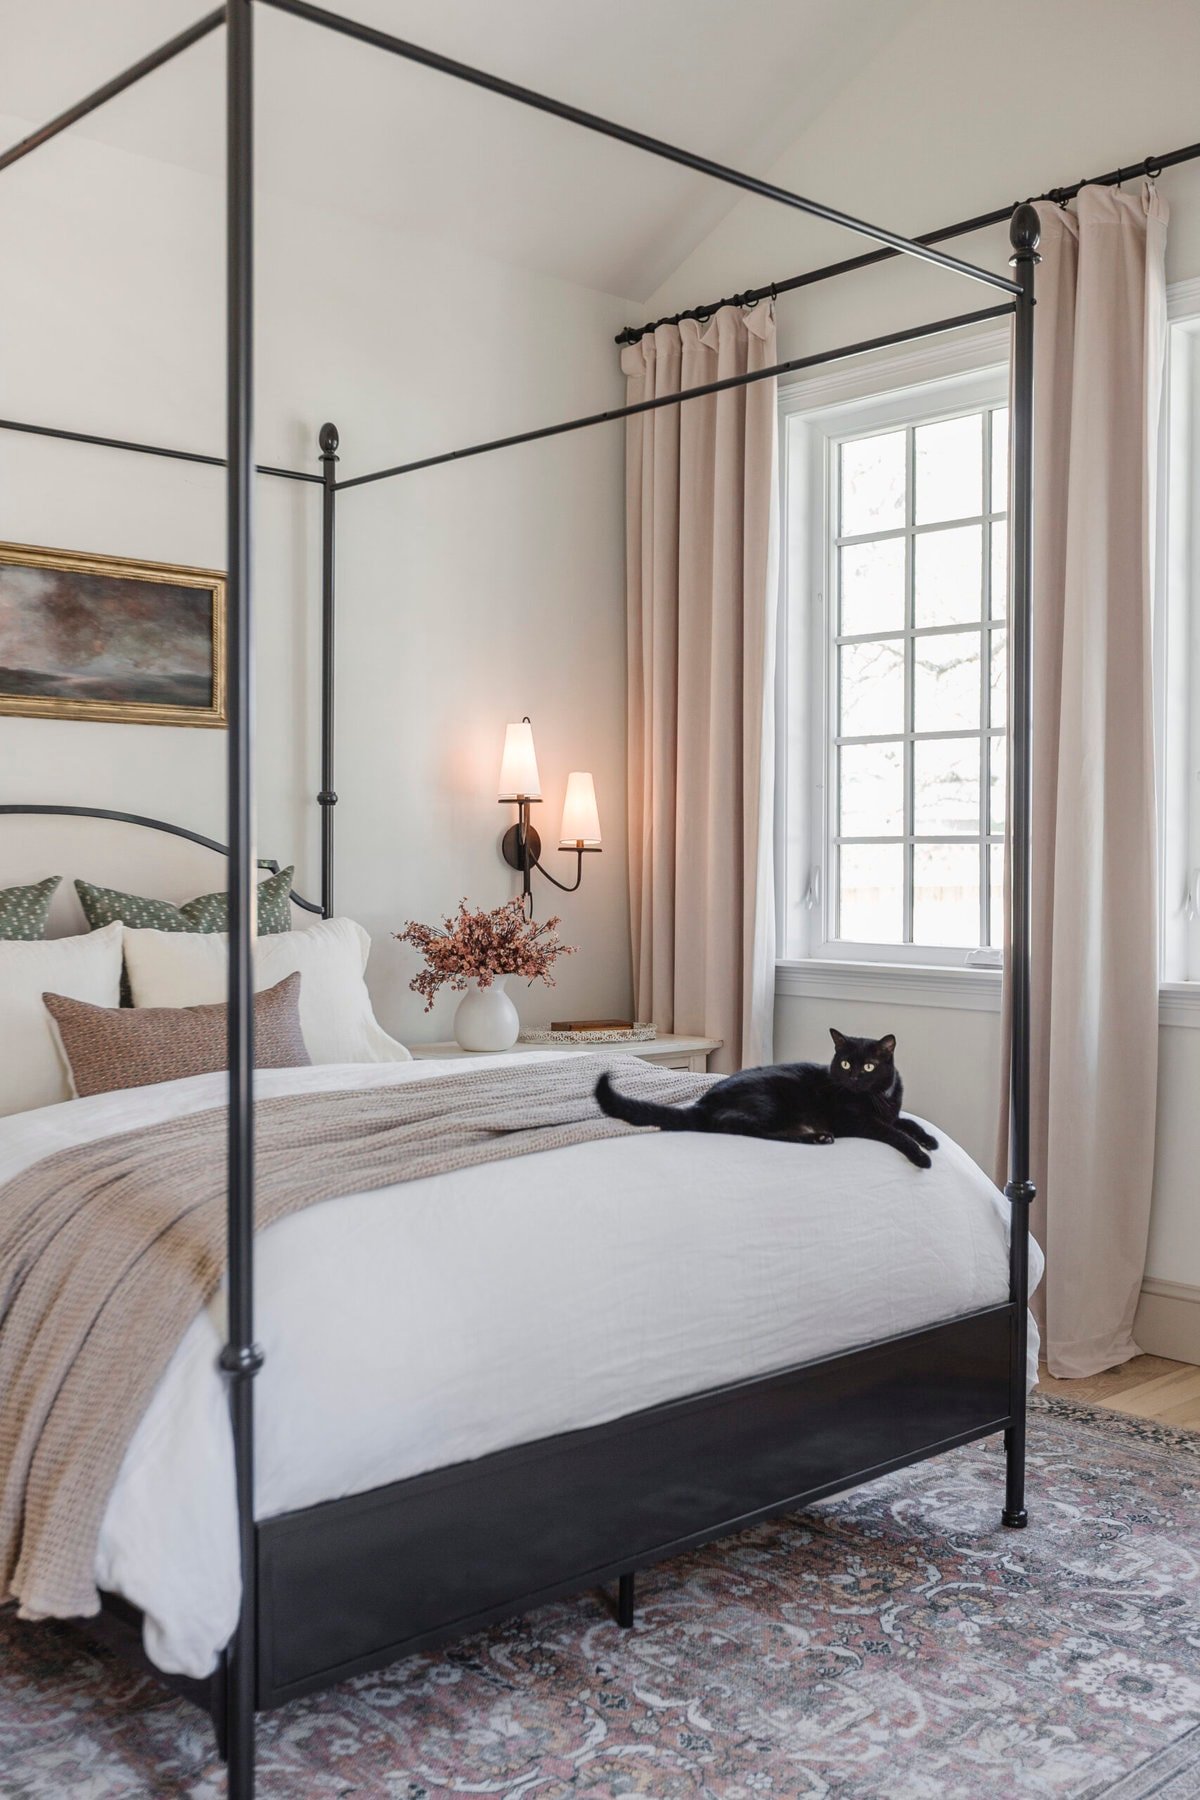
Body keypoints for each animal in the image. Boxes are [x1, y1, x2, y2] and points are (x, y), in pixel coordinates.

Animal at [597, 1029, 935, 1166]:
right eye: (845, 1064)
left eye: (868, 1066)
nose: (853, 1077)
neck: (878, 1098)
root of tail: (703, 1105)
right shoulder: (856, 1123)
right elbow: (894, 1133)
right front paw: (922, 1156)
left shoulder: (892, 1113)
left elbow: (908, 1123)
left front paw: (930, 1140)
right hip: (771, 1100)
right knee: (746, 1128)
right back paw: (817, 1139)